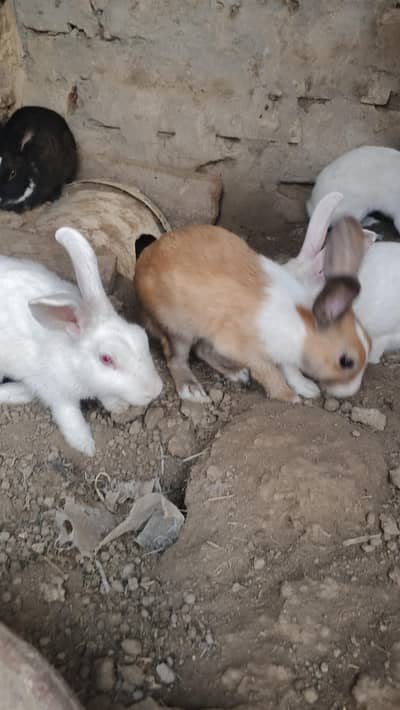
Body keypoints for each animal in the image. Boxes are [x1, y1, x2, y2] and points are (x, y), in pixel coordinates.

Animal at [0, 226, 162, 456]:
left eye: (142, 336)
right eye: (106, 359)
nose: (155, 390)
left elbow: (106, 395)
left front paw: (118, 406)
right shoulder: (57, 393)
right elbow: (70, 417)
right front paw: (85, 445)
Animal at [133, 222, 370, 405]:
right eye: (346, 361)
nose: (350, 392)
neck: (302, 325)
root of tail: (141, 266)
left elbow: (291, 370)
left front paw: (307, 388)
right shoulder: (251, 352)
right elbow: (269, 373)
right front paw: (289, 396)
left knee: (202, 350)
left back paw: (236, 372)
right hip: (178, 330)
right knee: (177, 359)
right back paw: (192, 390)